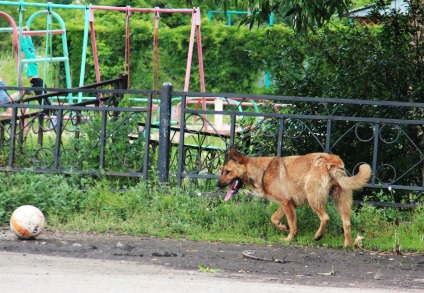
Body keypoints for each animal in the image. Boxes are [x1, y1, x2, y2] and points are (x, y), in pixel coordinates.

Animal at [219, 146, 372, 246]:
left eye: (228, 171)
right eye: (223, 171)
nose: (217, 184)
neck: (262, 170)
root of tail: (331, 161)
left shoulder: (286, 203)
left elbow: (292, 225)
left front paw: (288, 238)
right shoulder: (288, 203)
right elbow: (274, 218)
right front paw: (282, 226)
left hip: (313, 199)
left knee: (325, 218)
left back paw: (318, 236)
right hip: (342, 202)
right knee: (346, 223)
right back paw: (347, 245)